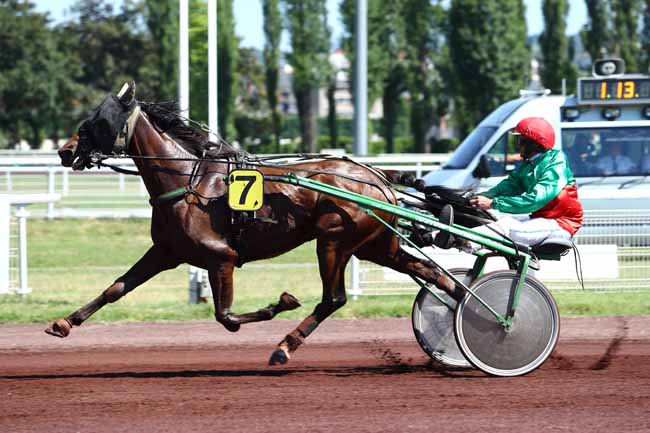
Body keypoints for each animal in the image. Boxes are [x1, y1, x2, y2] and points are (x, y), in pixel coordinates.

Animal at [47, 82, 463, 365]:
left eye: (98, 120)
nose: (65, 151)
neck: (187, 180)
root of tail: (376, 175)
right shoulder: (166, 252)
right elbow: (116, 288)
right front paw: (64, 323)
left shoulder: (221, 257)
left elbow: (226, 317)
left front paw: (280, 302)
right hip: (377, 245)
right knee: (434, 275)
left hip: (334, 241)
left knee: (333, 298)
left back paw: (284, 347)